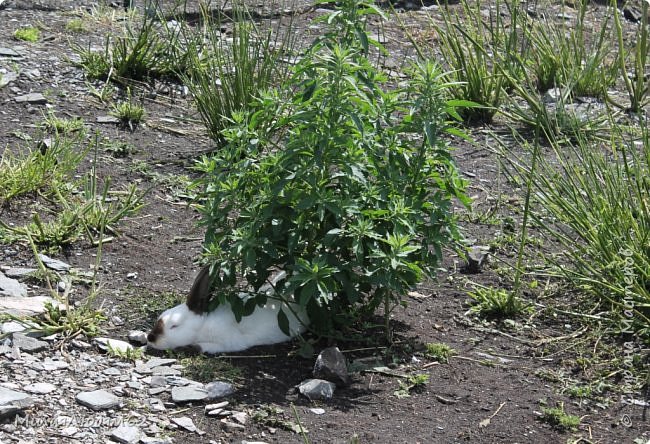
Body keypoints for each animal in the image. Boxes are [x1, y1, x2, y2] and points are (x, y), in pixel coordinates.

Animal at [147, 266, 308, 352]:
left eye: (174, 326)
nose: (151, 338)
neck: (203, 325)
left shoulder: (230, 341)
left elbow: (204, 347)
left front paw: (193, 347)